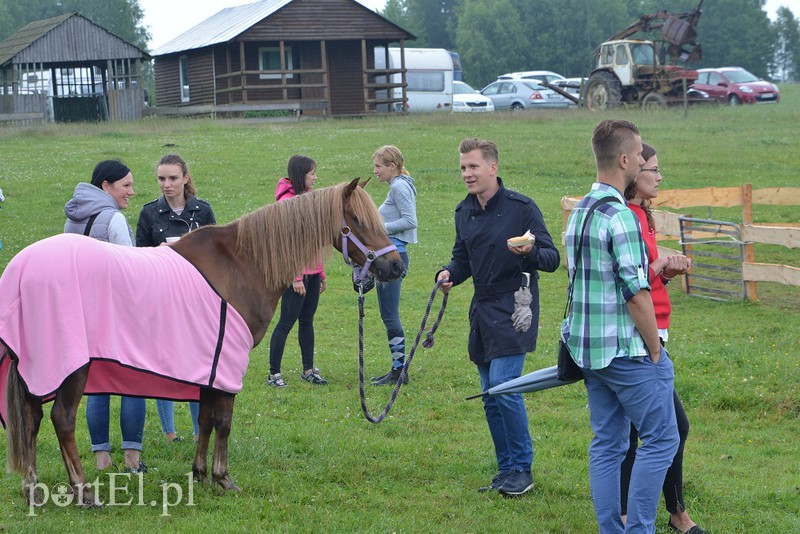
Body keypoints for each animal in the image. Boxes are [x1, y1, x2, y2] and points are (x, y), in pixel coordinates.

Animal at [0, 179, 400, 506]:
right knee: (62, 419)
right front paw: (224, 478)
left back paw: (33, 490)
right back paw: (84, 492)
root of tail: (21, 269)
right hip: (72, 367)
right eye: (358, 220)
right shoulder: (228, 363)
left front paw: (201, 475)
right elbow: (223, 421)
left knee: (32, 419)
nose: (395, 266)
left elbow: (205, 419)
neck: (241, 264)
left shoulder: (212, 363)